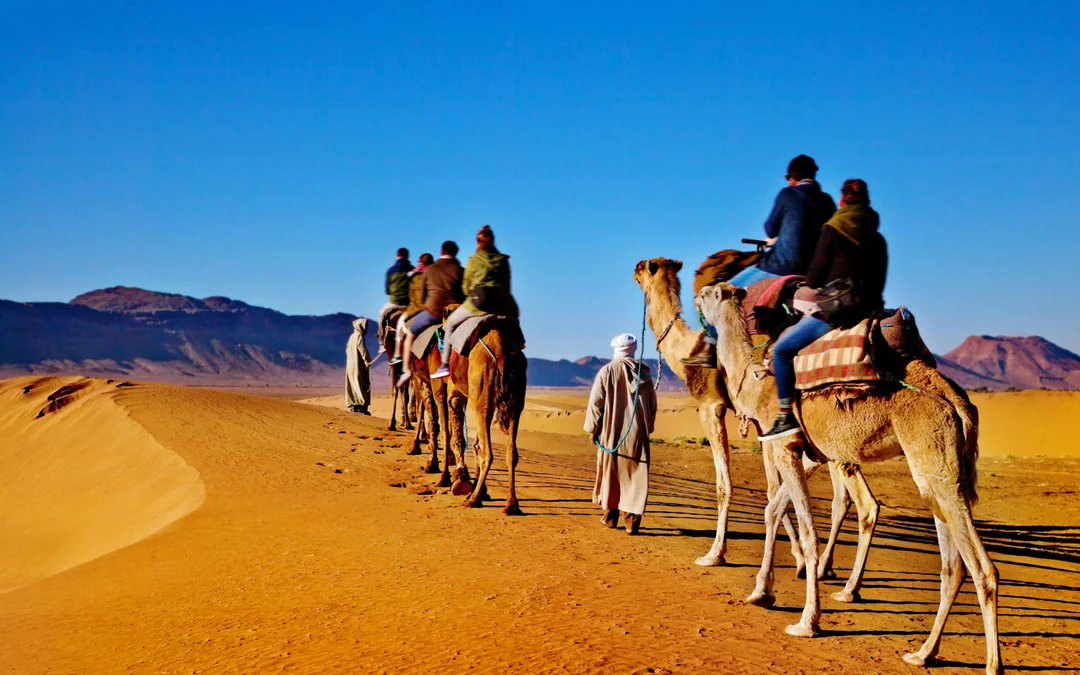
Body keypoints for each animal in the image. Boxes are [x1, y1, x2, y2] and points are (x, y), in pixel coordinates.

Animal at [443, 319, 527, 514]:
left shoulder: (455, 391)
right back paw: (512, 505)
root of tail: (501, 352)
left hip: (482, 400)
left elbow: (459, 438)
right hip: (516, 402)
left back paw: (473, 500)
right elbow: (475, 444)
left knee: (487, 453)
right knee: (511, 452)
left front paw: (464, 484)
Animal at [633, 258, 874, 584]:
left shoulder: (711, 407)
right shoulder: (762, 426)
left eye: (644, 267)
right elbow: (774, 489)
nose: (634, 272)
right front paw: (798, 558)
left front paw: (715, 554)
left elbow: (727, 484)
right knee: (848, 500)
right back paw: (830, 569)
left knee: (858, 500)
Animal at [700, 281, 1001, 674]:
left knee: (982, 569)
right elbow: (772, 510)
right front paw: (761, 592)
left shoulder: (784, 445)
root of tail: (954, 398)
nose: (697, 294)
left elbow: (806, 531)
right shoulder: (810, 452)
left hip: (936, 461)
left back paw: (991, 664)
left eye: (708, 294)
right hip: (938, 474)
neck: (753, 378)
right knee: (952, 567)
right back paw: (923, 653)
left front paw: (806, 622)